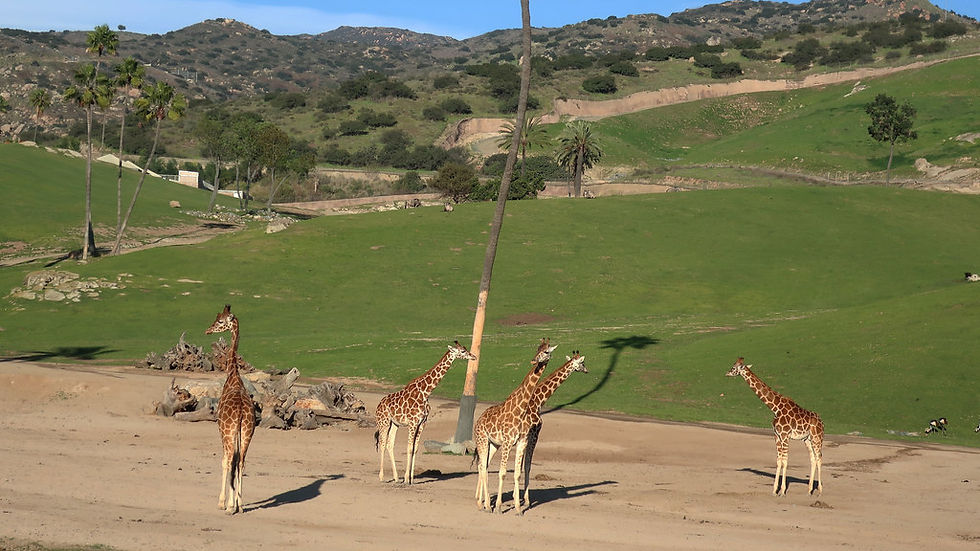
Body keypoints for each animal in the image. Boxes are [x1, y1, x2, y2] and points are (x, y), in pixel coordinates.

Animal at [375, 341, 477, 484]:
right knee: (383, 443)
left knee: (390, 444)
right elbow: (409, 447)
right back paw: (382, 477)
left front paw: (411, 478)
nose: (474, 357)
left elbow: (415, 448)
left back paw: (395, 477)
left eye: (466, 349)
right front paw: (406, 478)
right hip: (383, 422)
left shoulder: (422, 423)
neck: (426, 393)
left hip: (395, 424)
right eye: (462, 351)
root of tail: (378, 406)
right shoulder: (412, 423)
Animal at [473, 338, 557, 514]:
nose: (534, 360)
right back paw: (485, 505)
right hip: (483, 440)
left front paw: (518, 508)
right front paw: (498, 507)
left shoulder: (521, 441)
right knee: (482, 467)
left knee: (484, 466)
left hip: (493, 444)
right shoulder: (507, 442)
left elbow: (517, 473)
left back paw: (484, 503)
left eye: (546, 351)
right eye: (537, 348)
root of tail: (478, 421)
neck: (521, 409)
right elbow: (502, 472)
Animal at [520, 351, 587, 506]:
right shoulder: (534, 434)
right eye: (582, 363)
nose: (587, 370)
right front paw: (526, 500)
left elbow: (523, 465)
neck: (538, 402)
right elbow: (527, 465)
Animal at [727, 357, 824, 496]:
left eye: (734, 367)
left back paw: (819, 490)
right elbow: (778, 460)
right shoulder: (777, 436)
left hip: (817, 437)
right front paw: (774, 490)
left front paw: (782, 491)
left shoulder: (785, 436)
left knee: (819, 458)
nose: (726, 373)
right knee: (813, 459)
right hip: (807, 439)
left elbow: (785, 460)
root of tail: (821, 421)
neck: (775, 408)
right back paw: (809, 490)